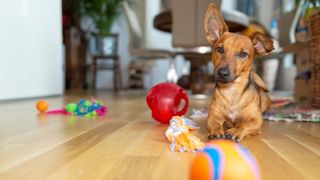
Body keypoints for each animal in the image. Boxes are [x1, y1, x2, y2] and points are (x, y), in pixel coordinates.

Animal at [205, 3, 272, 142]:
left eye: (243, 54)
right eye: (219, 49)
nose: (222, 73)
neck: (232, 91)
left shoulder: (256, 121)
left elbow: (244, 124)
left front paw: (235, 131)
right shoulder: (212, 116)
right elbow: (214, 123)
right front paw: (216, 130)